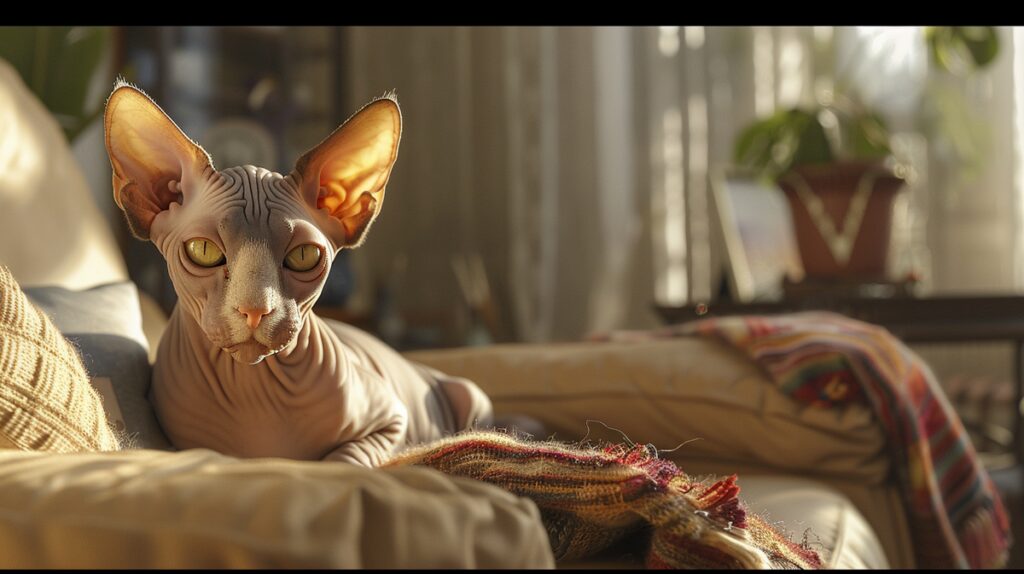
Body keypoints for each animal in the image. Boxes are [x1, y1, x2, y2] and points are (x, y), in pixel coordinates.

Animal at [104, 81, 499, 466]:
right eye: (203, 251)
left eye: (304, 256)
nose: (255, 310)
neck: (251, 385)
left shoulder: (391, 419)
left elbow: (343, 461)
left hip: (470, 394)